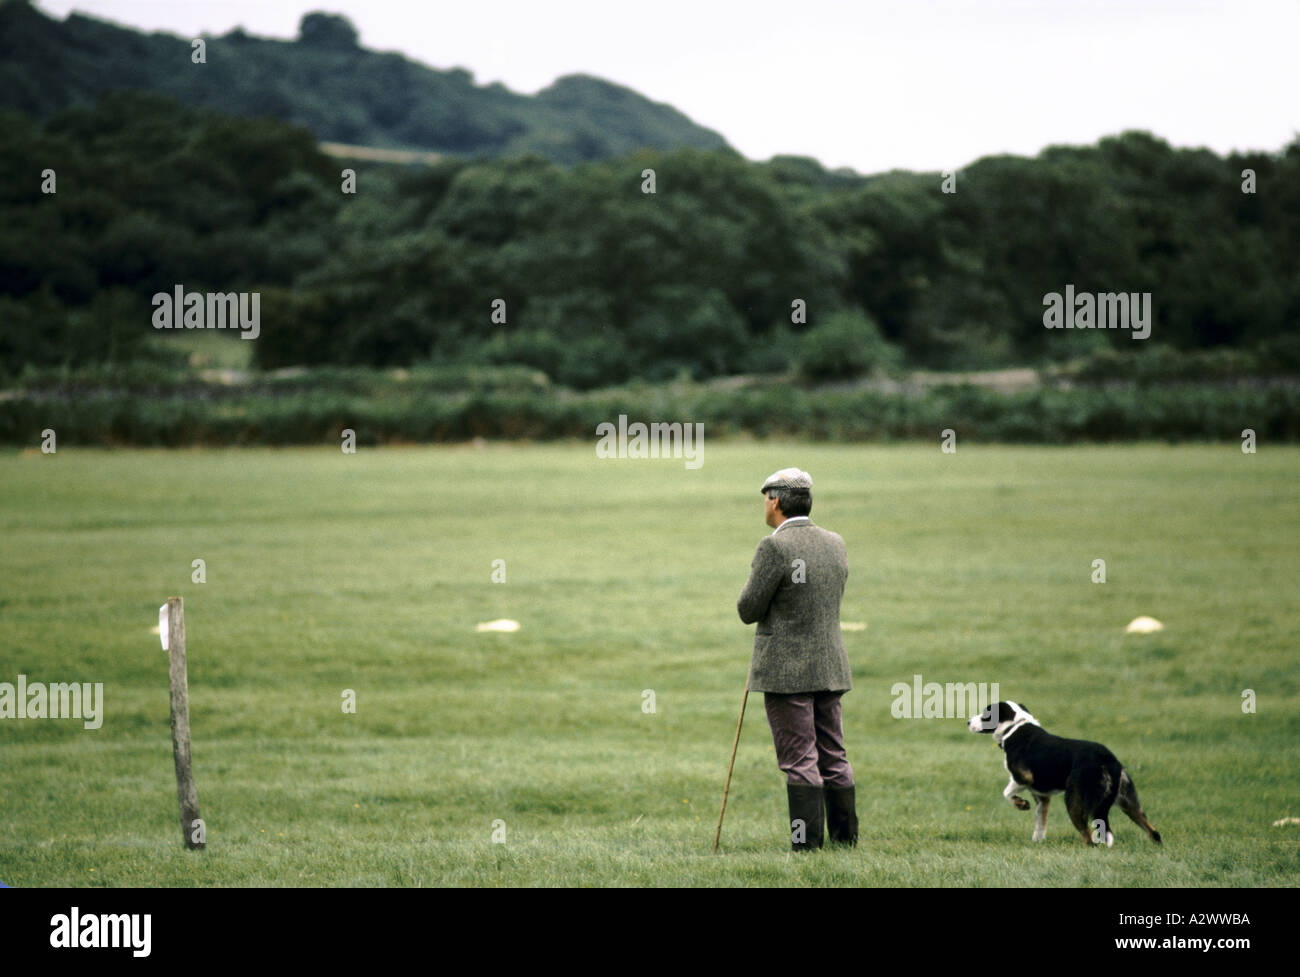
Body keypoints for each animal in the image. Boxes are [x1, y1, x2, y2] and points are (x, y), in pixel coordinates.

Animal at [972, 696, 1164, 841]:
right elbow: (1040, 825)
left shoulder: (1022, 778)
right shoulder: (1042, 796)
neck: (1014, 727)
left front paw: (1021, 804)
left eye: (985, 714)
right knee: (1154, 832)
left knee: (1088, 837)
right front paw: (1037, 843)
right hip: (1127, 801)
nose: (968, 721)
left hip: (1075, 800)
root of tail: (1106, 757)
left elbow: (1006, 793)